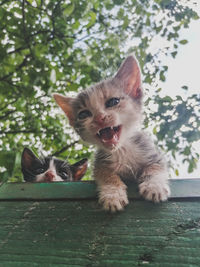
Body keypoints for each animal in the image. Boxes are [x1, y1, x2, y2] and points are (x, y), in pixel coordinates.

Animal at [53, 55, 170, 213]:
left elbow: (156, 167)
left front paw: (154, 185)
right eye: (83, 114)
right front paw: (112, 194)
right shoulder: (100, 162)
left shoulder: (153, 153)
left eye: (113, 101)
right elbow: (105, 174)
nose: (99, 118)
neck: (122, 150)